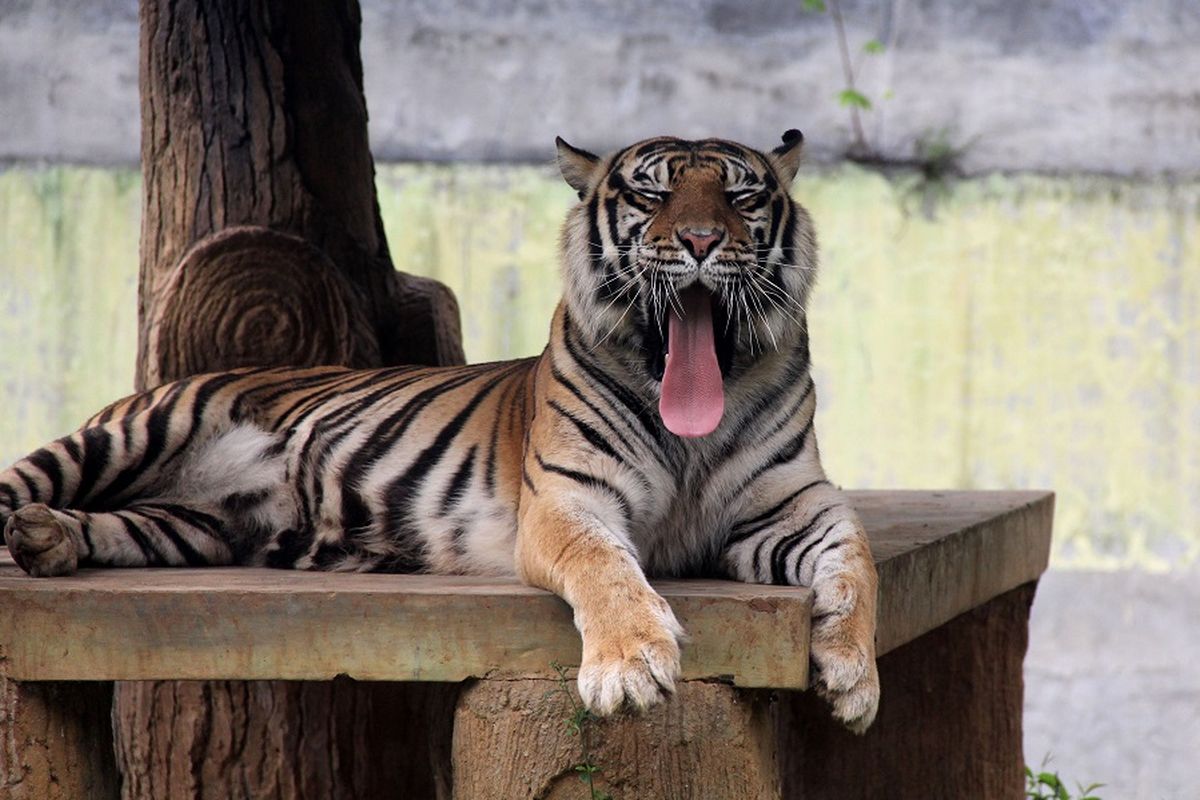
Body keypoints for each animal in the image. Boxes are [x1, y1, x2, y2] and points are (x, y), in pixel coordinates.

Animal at [0, 130, 883, 734]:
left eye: (741, 199)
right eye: (651, 197)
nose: (701, 241)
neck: (692, 426)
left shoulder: (793, 505)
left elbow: (855, 566)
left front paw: (852, 677)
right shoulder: (568, 502)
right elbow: (606, 568)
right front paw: (631, 666)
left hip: (194, 525)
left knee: (115, 526)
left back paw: (47, 540)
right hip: (133, 433)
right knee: (25, 478)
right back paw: (33, 527)